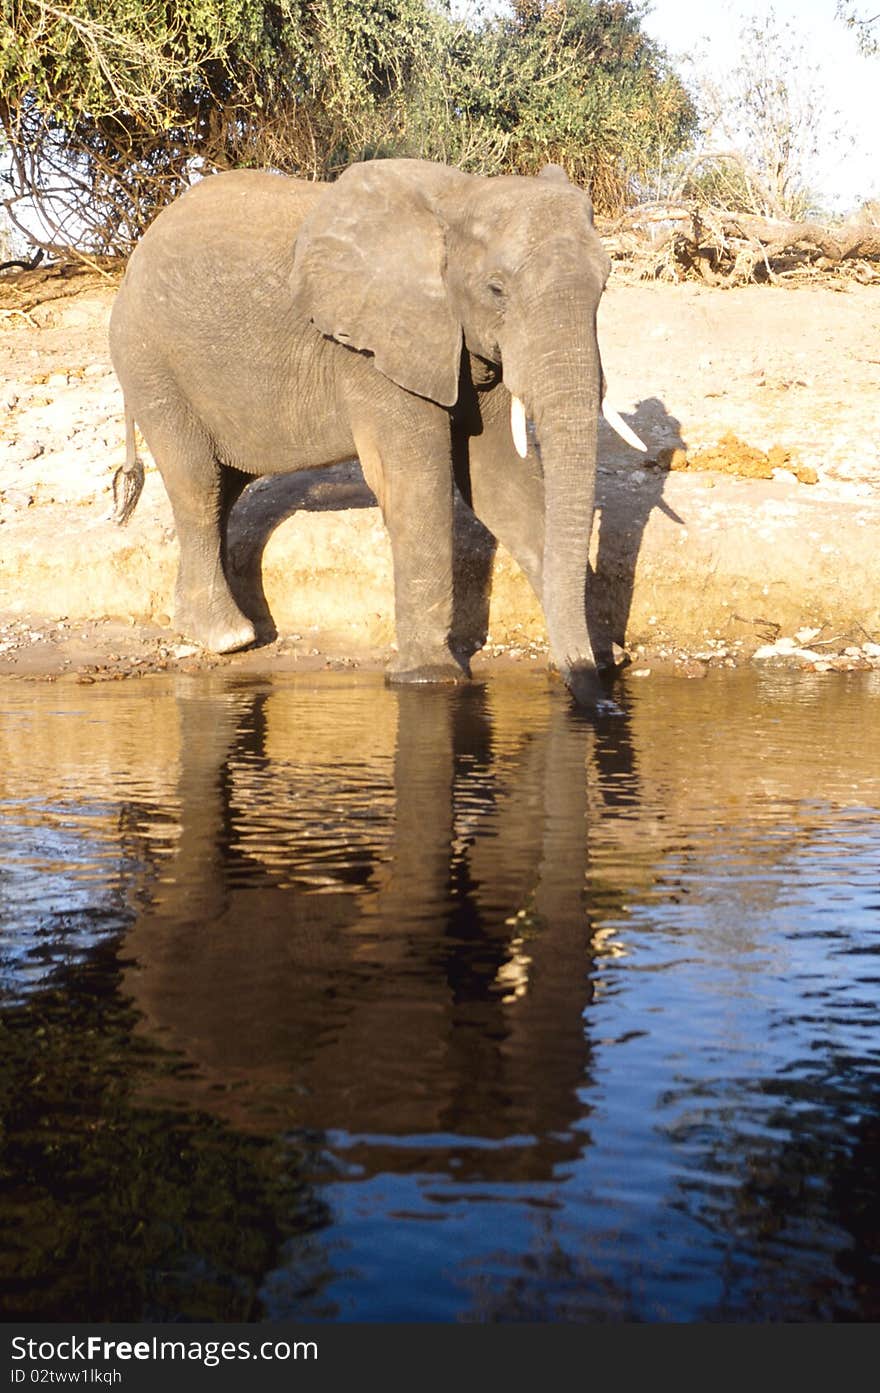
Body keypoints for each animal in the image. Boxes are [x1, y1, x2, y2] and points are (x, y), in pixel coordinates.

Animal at [111, 160, 646, 707]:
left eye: (604, 285)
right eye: (497, 289)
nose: (600, 701)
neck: (461, 196)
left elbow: (500, 482)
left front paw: (603, 659)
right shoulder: (371, 347)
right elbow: (416, 481)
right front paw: (429, 678)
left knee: (225, 488)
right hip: (150, 363)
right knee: (198, 485)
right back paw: (228, 638)